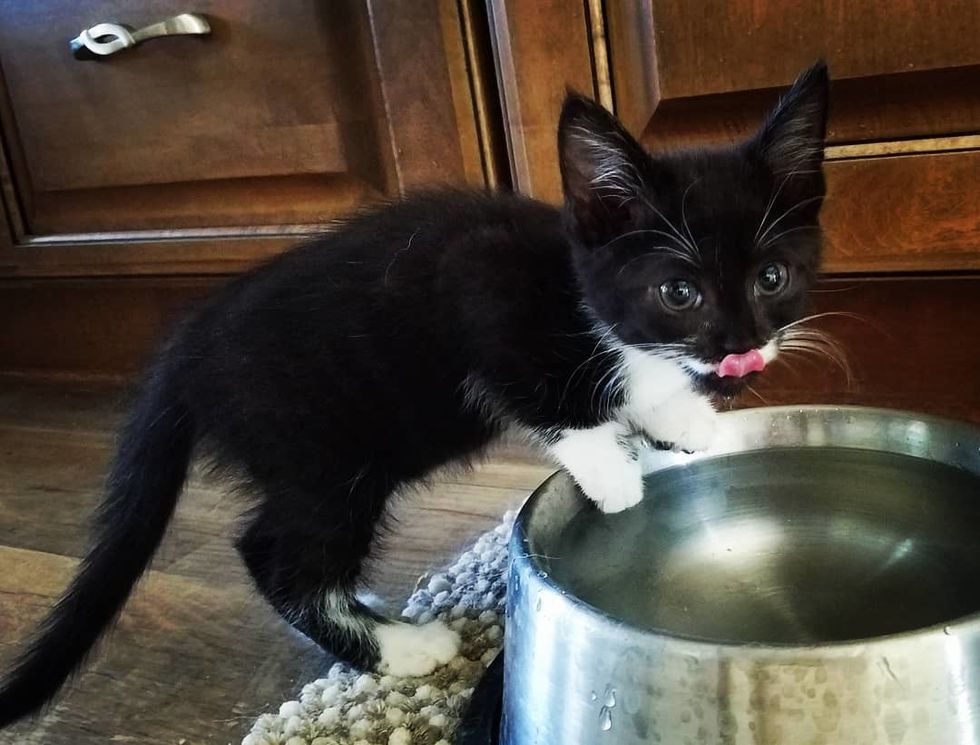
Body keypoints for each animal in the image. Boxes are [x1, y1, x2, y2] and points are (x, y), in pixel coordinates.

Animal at [0, 62, 828, 726]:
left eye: (772, 277)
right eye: (679, 291)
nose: (743, 345)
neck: (578, 289)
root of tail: (186, 345)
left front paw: (678, 413)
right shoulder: (478, 289)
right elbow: (543, 392)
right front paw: (611, 467)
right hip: (324, 449)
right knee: (274, 553)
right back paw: (399, 645)